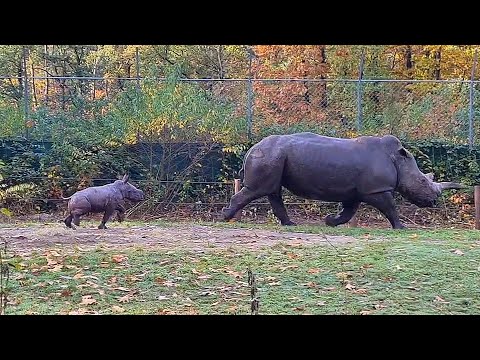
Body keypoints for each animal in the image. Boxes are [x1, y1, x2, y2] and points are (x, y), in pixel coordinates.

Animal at [223, 134, 466, 229]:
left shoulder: (358, 191)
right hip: (269, 155)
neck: (400, 161)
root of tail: (251, 148)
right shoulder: (376, 189)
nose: (433, 201)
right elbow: (391, 207)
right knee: (259, 189)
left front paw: (330, 221)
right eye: (423, 182)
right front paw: (401, 228)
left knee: (273, 190)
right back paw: (226, 217)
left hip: (274, 156)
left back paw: (290, 224)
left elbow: (349, 211)